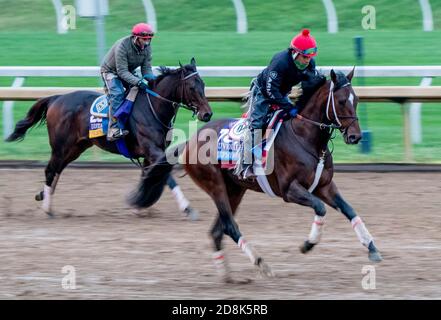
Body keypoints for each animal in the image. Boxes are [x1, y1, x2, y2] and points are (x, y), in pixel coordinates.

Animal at [6, 57, 212, 218]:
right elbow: (165, 176)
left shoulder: (151, 154)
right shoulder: (153, 151)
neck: (152, 106)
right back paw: (47, 209)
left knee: (57, 170)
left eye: (203, 84)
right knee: (50, 170)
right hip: (60, 146)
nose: (207, 114)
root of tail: (56, 98)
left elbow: (149, 176)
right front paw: (186, 208)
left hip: (75, 148)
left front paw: (139, 204)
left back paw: (42, 195)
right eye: (192, 87)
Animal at [128, 68, 382, 282]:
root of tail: (190, 141)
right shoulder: (290, 190)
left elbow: (350, 211)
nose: (355, 136)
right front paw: (308, 244)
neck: (305, 137)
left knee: (217, 231)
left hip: (235, 190)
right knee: (230, 227)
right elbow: (320, 208)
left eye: (357, 99)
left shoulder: (325, 186)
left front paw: (372, 248)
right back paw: (261, 263)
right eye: (341, 101)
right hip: (215, 185)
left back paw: (227, 275)